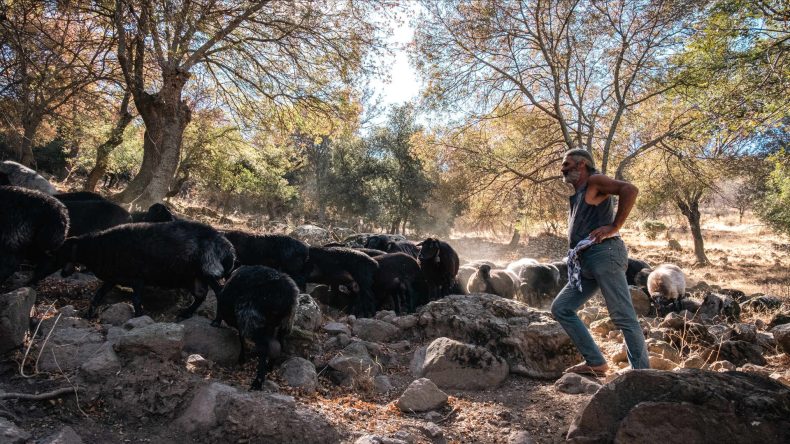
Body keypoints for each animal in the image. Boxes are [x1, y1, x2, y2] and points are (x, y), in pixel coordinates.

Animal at [58, 219, 235, 318]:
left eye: (60, 252)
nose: (62, 273)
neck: (99, 248)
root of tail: (229, 248)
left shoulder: (138, 278)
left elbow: (136, 299)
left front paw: (138, 316)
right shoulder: (113, 278)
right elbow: (98, 296)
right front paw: (87, 316)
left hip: (208, 272)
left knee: (219, 293)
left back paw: (216, 321)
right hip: (195, 278)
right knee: (200, 295)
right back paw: (185, 314)